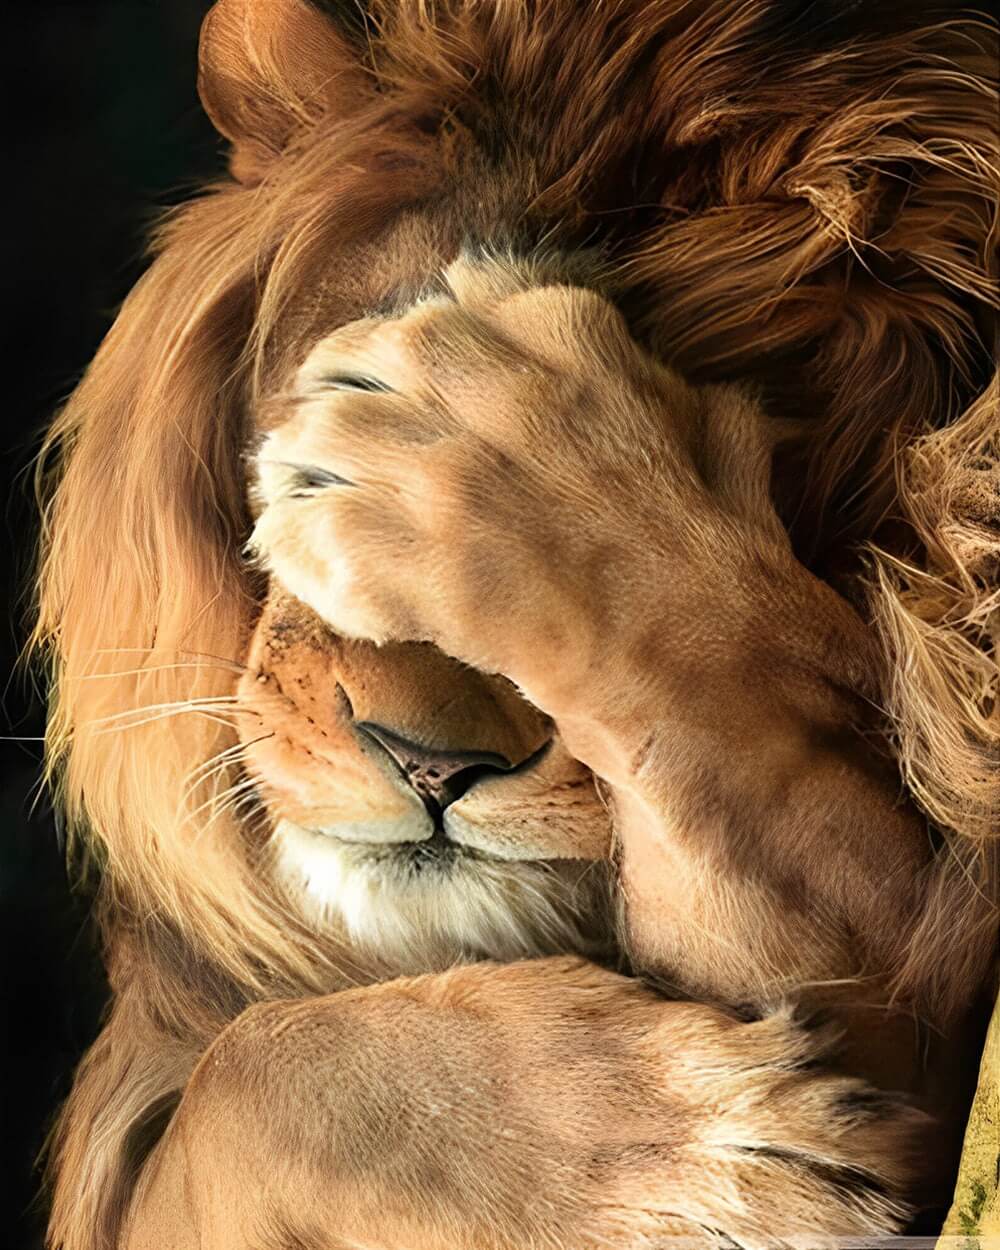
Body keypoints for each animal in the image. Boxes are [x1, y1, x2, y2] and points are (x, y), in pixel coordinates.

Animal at [34, 1, 998, 1247]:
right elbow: (242, 1070)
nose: (428, 763)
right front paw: (680, 1144)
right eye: (311, 428)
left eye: (773, 485)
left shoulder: (916, 1019)